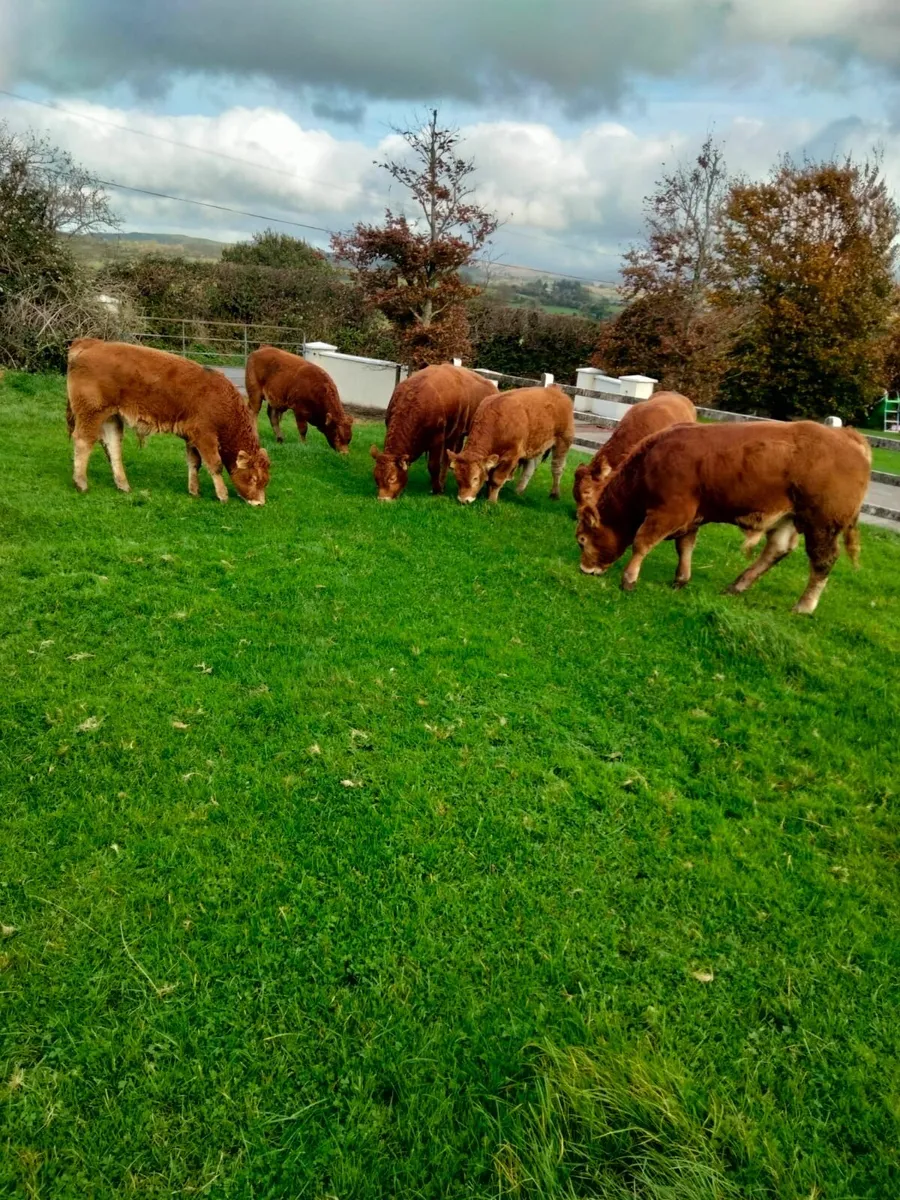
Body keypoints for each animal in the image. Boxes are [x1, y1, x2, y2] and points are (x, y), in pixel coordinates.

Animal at [66, 339, 270, 505]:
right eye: (253, 478)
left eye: (265, 481)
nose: (260, 503)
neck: (221, 399)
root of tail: (91, 343)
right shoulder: (205, 436)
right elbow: (215, 464)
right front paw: (222, 495)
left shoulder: (191, 437)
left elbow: (194, 463)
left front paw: (194, 491)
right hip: (91, 413)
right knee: (83, 441)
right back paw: (81, 483)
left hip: (111, 418)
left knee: (113, 446)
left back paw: (123, 485)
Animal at [370, 364, 497, 500]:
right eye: (376, 479)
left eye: (392, 478)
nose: (383, 499)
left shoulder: (438, 438)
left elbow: (434, 465)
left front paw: (437, 489)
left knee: (446, 458)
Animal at [575, 420, 871, 614]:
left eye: (581, 540)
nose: (585, 569)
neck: (649, 463)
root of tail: (847, 436)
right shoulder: (691, 516)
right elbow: (685, 546)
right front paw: (681, 579)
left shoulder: (670, 512)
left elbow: (641, 543)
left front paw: (629, 579)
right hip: (788, 517)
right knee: (777, 549)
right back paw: (738, 585)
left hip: (822, 523)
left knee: (822, 561)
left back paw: (804, 605)